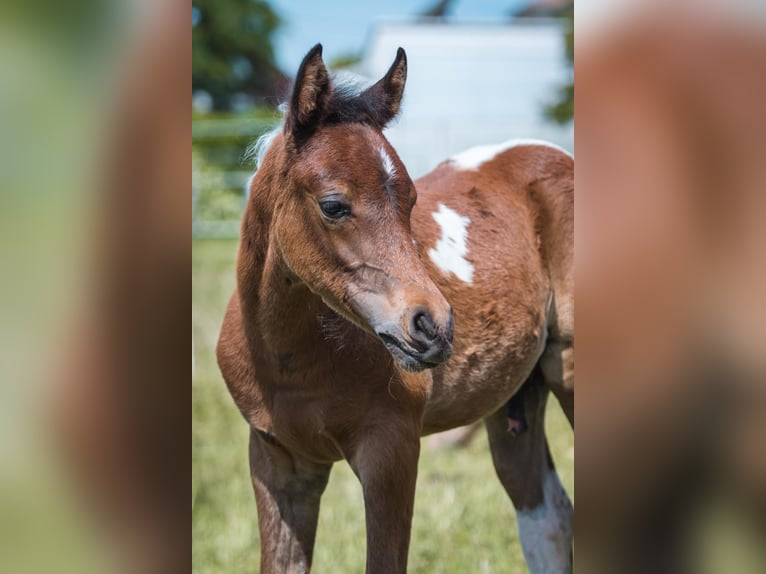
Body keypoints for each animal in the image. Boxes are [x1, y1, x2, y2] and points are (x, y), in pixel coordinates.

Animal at [217, 43, 574, 573]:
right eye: (333, 205)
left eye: (411, 200)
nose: (434, 326)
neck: (289, 360)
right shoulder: (277, 460)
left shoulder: (392, 450)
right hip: (516, 396)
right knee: (547, 518)